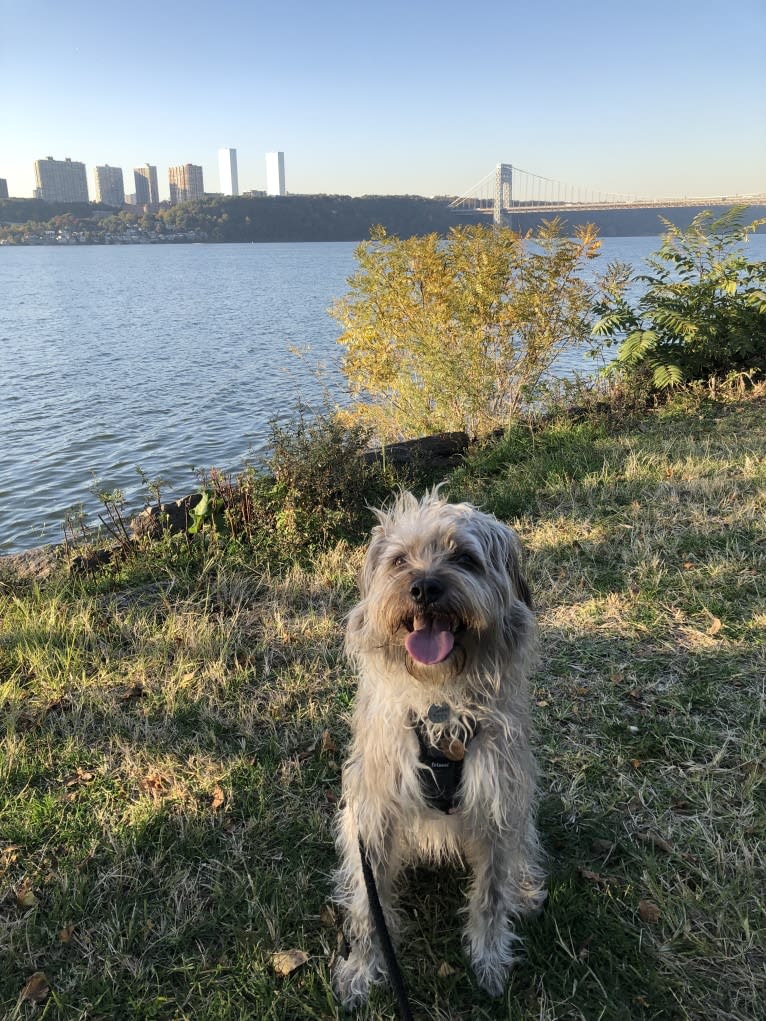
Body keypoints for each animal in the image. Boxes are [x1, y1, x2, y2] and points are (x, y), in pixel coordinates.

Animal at [334, 492, 547, 1004]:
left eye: (465, 559)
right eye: (399, 561)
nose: (425, 588)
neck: (440, 702)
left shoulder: (498, 801)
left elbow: (491, 893)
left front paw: (489, 959)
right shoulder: (373, 809)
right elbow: (369, 906)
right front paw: (363, 967)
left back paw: (526, 888)